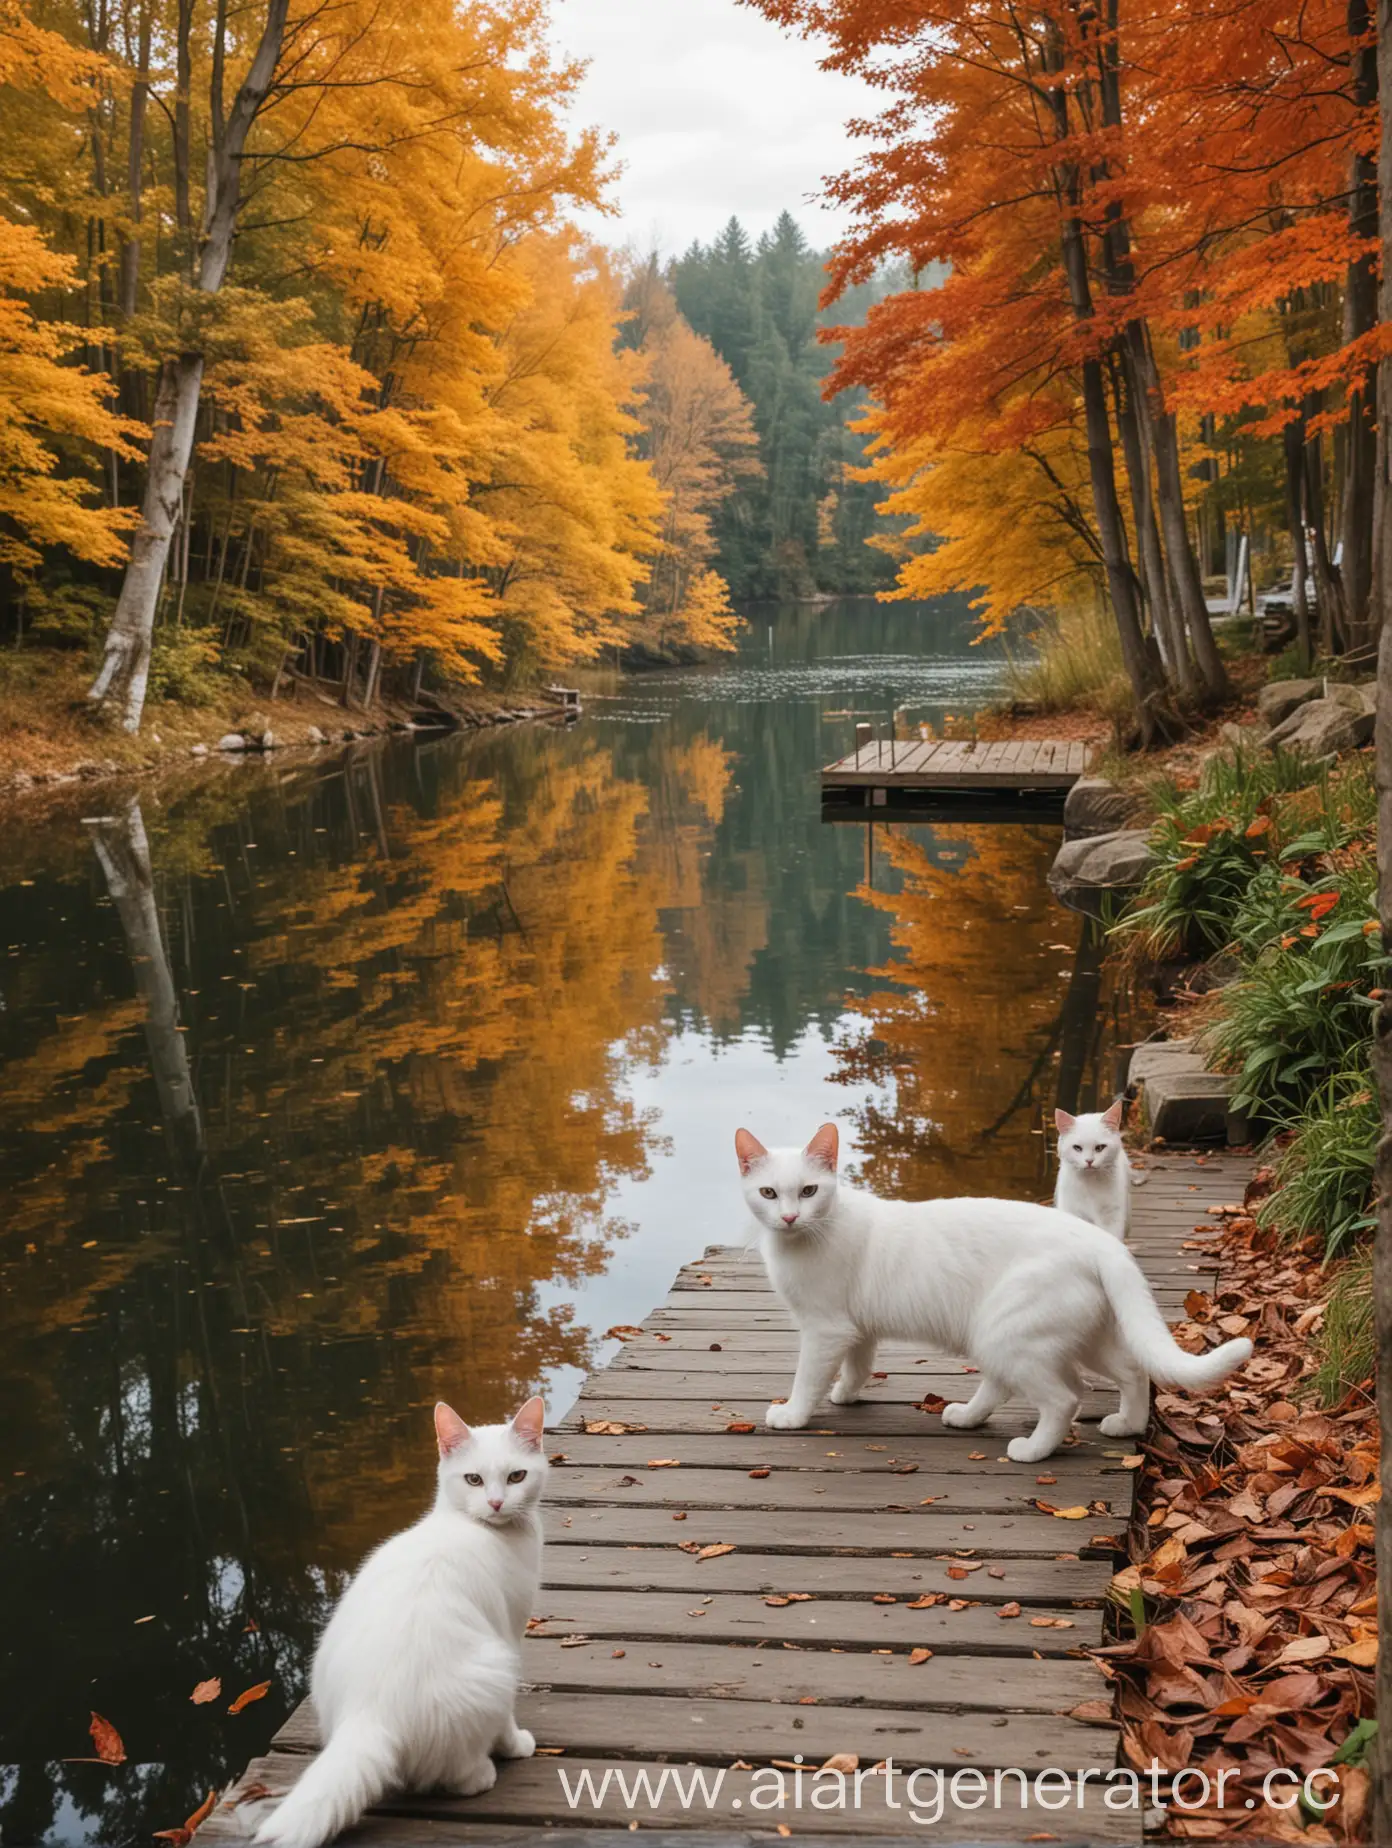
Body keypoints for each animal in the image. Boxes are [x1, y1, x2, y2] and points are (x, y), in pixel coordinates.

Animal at [253, 1397, 547, 1848]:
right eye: (474, 1479)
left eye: (517, 1476)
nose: (497, 1503)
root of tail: (368, 1714)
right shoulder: (510, 1632)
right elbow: (508, 1720)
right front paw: (515, 1745)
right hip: (494, 1667)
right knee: (456, 1772)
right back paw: (481, 1773)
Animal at [739, 1116, 1249, 1463]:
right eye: (768, 1194)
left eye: (808, 1191)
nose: (789, 1217)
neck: (808, 1235)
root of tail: (1099, 1240)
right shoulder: (856, 1328)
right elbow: (859, 1365)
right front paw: (845, 1393)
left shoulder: (825, 1329)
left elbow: (808, 1378)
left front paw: (793, 1414)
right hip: (1075, 1335)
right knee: (1131, 1371)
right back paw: (1117, 1424)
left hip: (1006, 1332)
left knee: (1065, 1397)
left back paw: (1032, 1449)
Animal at [1050, 1094, 1131, 1241]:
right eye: (1077, 1148)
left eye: (1099, 1148)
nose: (1089, 1161)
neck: (1090, 1184)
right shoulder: (1073, 1212)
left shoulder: (1113, 1215)